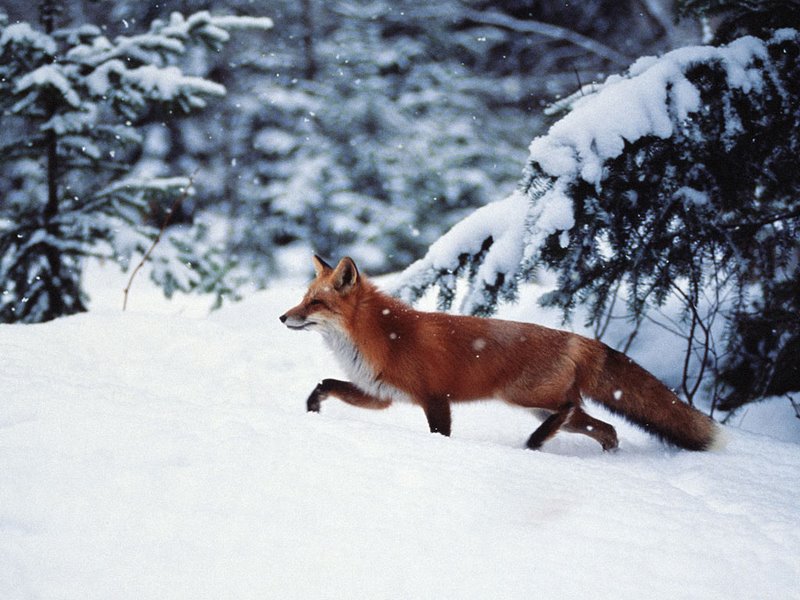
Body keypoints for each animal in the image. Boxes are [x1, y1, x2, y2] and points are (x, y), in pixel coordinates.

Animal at [278, 255, 720, 452]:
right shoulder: (381, 395)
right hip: (543, 406)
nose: (283, 317)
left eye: (315, 303)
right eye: (303, 298)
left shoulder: (435, 398)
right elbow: (326, 383)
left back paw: (535, 443)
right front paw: (312, 409)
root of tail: (579, 338)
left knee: (569, 411)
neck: (384, 335)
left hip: (524, 397)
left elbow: (440, 435)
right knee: (605, 428)